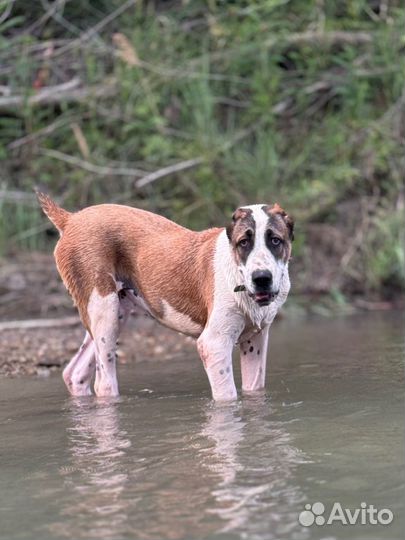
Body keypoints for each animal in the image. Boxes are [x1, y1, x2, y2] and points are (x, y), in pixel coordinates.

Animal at [36, 194, 292, 400]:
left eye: (275, 240)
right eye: (244, 242)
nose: (261, 277)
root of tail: (71, 219)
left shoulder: (255, 340)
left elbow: (254, 390)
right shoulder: (214, 345)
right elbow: (227, 397)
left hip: (116, 313)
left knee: (75, 373)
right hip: (104, 312)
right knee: (104, 383)